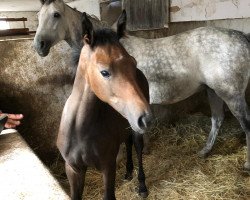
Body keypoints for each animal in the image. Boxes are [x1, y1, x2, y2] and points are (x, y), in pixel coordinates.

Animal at [34, 0, 250, 170]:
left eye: (56, 14)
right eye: (38, 16)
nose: (39, 46)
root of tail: (242, 37)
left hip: (231, 95)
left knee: (245, 124)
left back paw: (246, 164)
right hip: (213, 91)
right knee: (217, 119)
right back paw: (204, 151)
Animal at [56, 11, 150, 199]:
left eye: (133, 62)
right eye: (104, 72)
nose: (145, 118)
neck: (80, 129)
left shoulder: (108, 167)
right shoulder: (73, 169)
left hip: (135, 129)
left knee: (137, 147)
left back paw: (141, 185)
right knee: (127, 142)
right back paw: (128, 172)